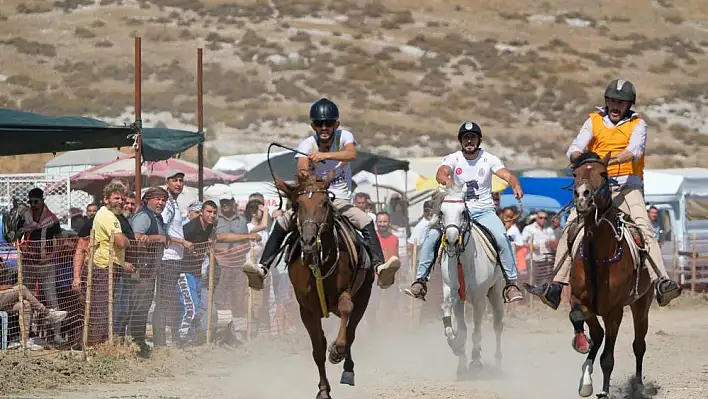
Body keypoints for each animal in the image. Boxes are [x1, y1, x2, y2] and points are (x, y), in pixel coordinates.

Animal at [276, 171, 376, 399]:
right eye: (297, 205)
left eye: (324, 203)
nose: (309, 241)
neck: (321, 263)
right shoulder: (307, 309)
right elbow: (318, 349)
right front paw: (323, 390)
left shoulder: (350, 294)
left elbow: (346, 312)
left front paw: (337, 351)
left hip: (364, 297)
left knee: (351, 331)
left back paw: (346, 367)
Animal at [440, 183, 506, 380]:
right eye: (441, 212)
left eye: (463, 211)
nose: (451, 240)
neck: (462, 259)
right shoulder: (455, 296)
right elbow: (460, 329)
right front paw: (459, 356)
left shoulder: (478, 299)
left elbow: (476, 332)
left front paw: (475, 362)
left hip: (495, 292)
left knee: (498, 325)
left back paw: (498, 363)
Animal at [568, 152, 652, 398]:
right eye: (575, 174)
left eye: (603, 174)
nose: (582, 197)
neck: (597, 258)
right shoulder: (579, 299)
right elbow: (580, 320)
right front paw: (581, 343)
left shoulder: (614, 311)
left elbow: (607, 358)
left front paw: (604, 391)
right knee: (598, 336)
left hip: (642, 303)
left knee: (639, 344)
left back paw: (638, 386)